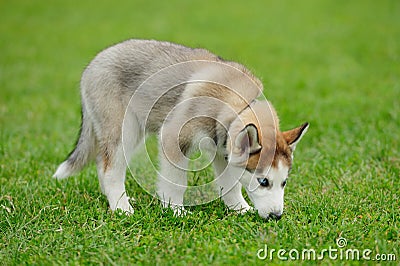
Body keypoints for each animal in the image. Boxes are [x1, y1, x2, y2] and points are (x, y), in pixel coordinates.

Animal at [54, 39, 310, 218]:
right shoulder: (174, 137)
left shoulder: (223, 148)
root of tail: (94, 62)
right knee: (109, 167)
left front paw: (239, 208)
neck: (238, 103)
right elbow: (176, 180)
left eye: (284, 182)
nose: (276, 216)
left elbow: (230, 184)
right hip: (123, 129)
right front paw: (175, 210)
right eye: (263, 181)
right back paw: (121, 207)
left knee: (102, 163)